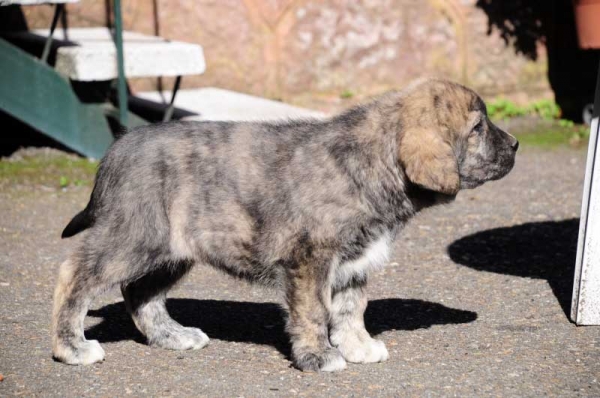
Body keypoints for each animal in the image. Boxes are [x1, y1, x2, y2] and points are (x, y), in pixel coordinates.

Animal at [51, 79, 516, 372]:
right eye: (477, 128)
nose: (514, 145)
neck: (372, 162)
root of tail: (116, 149)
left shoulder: (353, 262)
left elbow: (351, 310)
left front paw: (358, 347)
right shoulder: (310, 259)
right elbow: (315, 311)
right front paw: (318, 357)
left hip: (171, 253)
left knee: (140, 293)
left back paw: (172, 336)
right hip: (135, 238)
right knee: (74, 274)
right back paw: (70, 347)